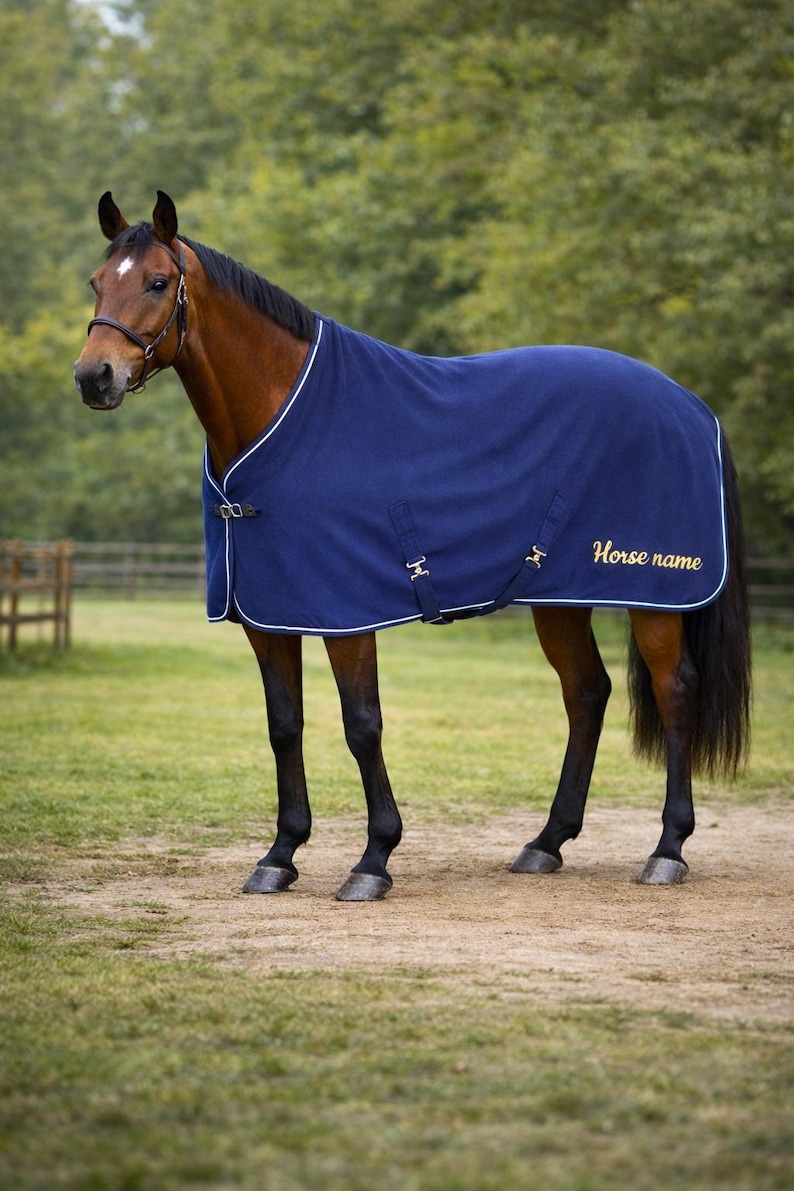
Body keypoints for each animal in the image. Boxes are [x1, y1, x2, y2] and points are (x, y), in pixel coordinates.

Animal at [74, 191, 751, 901]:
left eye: (158, 282)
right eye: (96, 282)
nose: (95, 377)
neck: (280, 415)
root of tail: (694, 408)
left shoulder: (344, 615)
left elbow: (362, 725)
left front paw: (373, 859)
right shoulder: (265, 614)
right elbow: (285, 725)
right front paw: (280, 854)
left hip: (655, 596)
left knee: (675, 692)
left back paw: (667, 849)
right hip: (559, 595)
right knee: (587, 693)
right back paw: (546, 842)